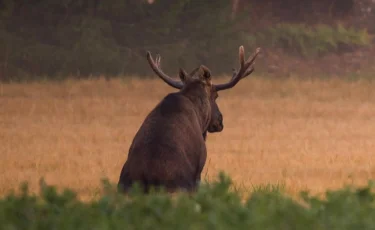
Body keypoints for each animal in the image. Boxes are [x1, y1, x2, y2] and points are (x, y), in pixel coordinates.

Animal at [118, 45, 262, 194]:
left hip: (124, 185)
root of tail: (148, 178)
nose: (220, 120)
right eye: (215, 95)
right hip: (179, 185)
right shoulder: (199, 168)